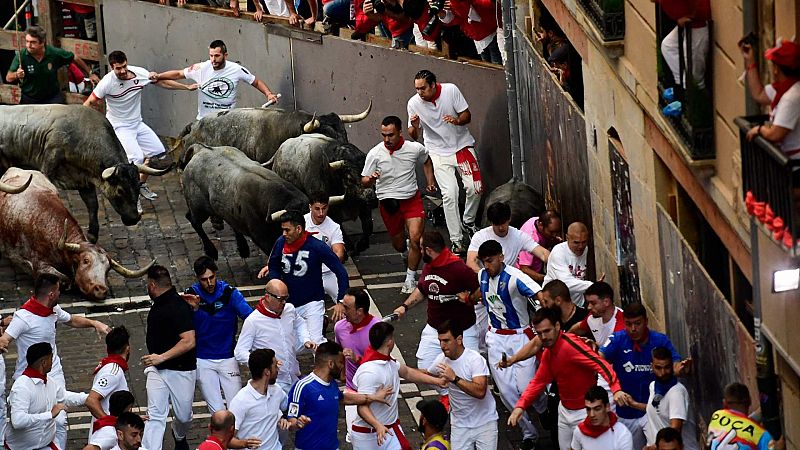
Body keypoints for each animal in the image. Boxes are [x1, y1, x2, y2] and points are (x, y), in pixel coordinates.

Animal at [0, 104, 170, 243]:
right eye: (120, 190)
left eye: (138, 187)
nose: (134, 219)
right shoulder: (48, 164)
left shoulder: (84, 182)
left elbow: (93, 205)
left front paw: (92, 235)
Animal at [182, 142, 350, 258]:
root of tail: (201, 149)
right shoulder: (262, 237)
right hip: (199, 208)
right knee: (193, 220)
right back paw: (211, 251)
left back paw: (243, 249)